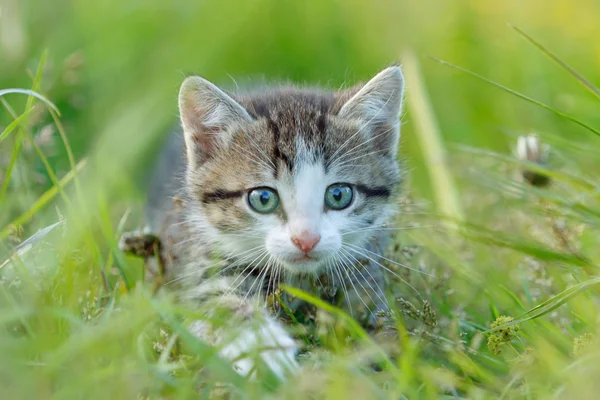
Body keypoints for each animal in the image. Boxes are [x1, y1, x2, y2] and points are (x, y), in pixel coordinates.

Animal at [144, 65, 404, 378]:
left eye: (339, 195)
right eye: (263, 198)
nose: (306, 239)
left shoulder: (365, 267)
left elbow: (386, 331)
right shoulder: (199, 265)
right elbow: (215, 303)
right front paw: (263, 349)